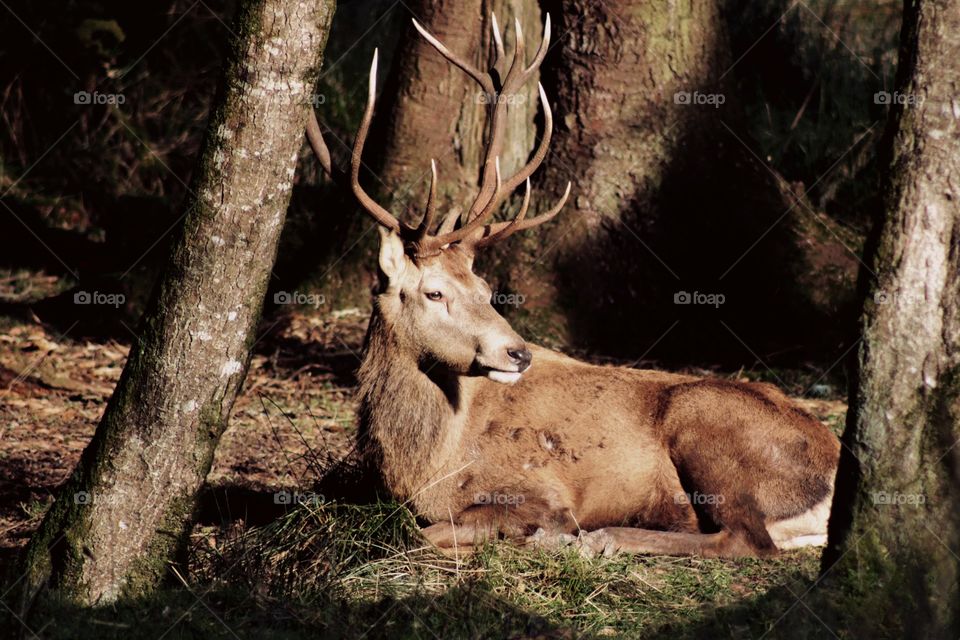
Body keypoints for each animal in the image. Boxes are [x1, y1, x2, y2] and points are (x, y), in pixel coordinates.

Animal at [305, 14, 841, 558]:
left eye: (486, 288)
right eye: (435, 291)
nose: (519, 353)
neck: (426, 466)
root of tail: (835, 466)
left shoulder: (540, 487)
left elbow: (423, 533)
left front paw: (548, 535)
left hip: (707, 423)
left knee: (745, 539)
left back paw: (598, 539)